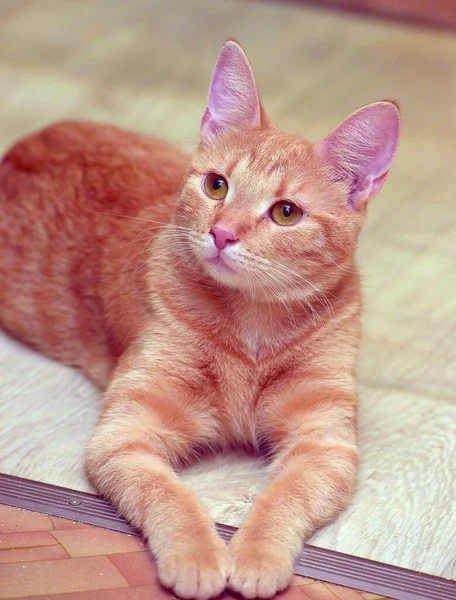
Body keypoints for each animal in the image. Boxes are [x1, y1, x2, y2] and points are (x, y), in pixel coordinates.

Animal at [0, 41, 400, 600]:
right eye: (217, 185)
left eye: (286, 213)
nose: (222, 233)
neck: (253, 327)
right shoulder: (126, 434)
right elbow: (168, 495)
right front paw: (196, 555)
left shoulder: (324, 442)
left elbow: (286, 496)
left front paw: (256, 554)